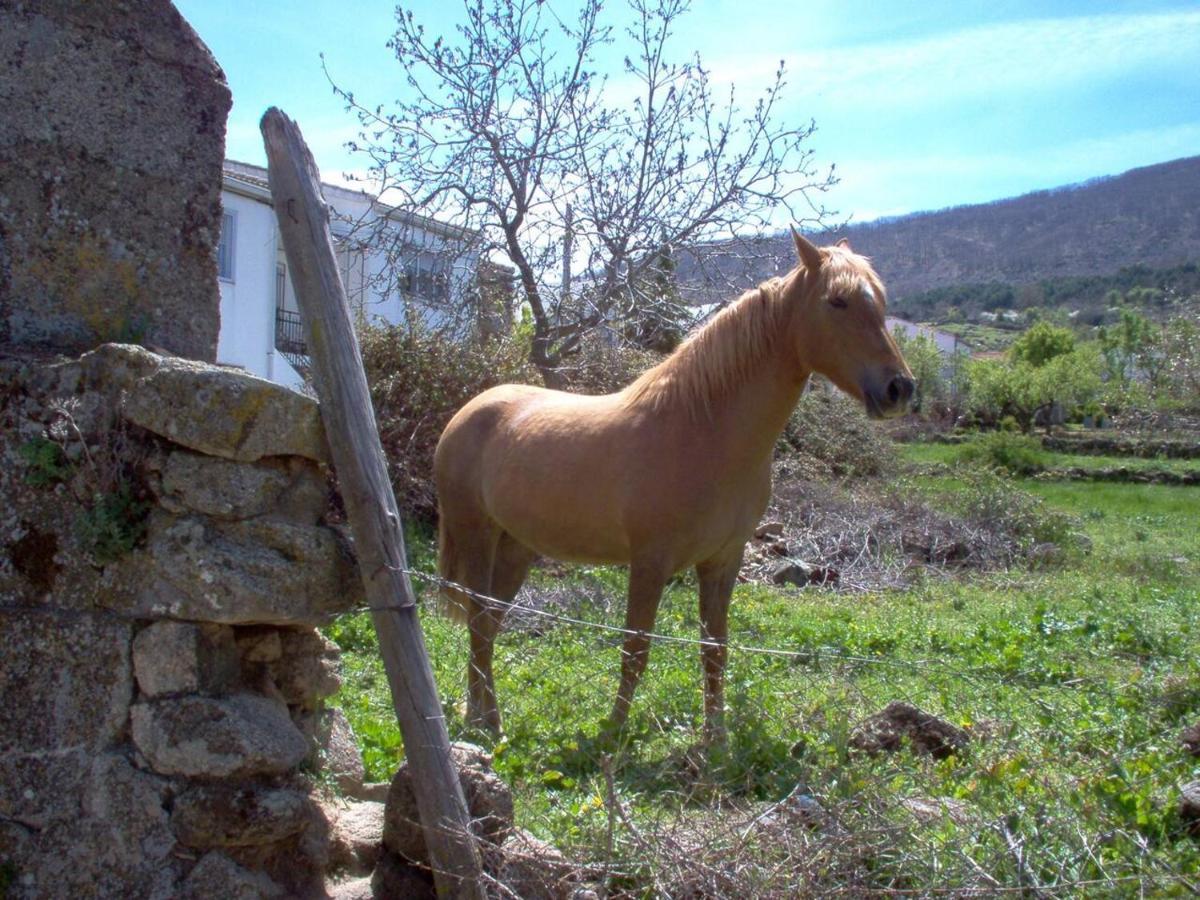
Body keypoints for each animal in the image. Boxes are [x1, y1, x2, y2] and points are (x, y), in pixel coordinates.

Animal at [436, 229, 912, 744]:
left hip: (518, 547)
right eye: (837, 301)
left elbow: (715, 650)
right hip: (477, 535)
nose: (899, 389)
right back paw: (484, 726)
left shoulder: (723, 561)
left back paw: (484, 718)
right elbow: (636, 650)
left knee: (489, 624)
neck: (703, 430)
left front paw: (715, 738)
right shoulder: (650, 563)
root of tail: (469, 412)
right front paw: (612, 735)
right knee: (479, 623)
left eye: (880, 300)